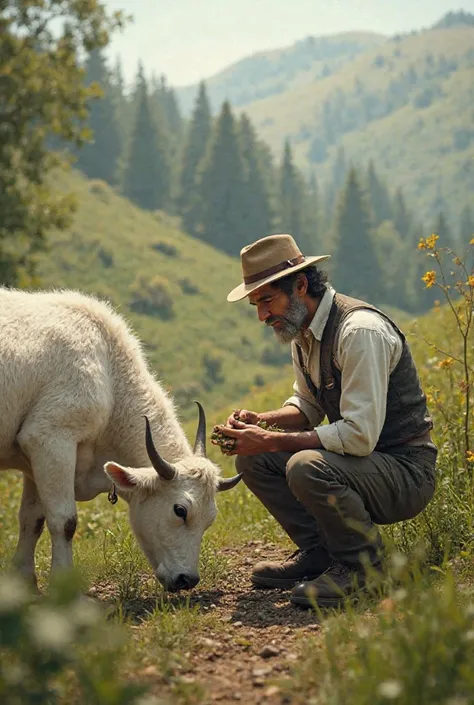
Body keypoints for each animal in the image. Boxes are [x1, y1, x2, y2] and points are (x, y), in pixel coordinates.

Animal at [0, 286, 243, 588]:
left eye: (210, 519)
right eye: (180, 511)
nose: (187, 579)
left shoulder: (33, 457)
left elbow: (32, 518)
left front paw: (23, 582)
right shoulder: (51, 438)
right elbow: (64, 521)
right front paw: (63, 586)